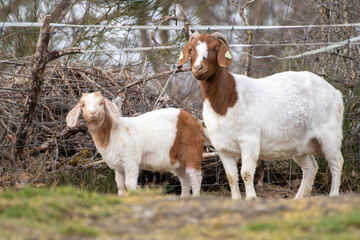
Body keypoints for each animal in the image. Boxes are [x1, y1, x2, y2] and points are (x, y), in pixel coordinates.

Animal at [65, 92, 204, 197]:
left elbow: (129, 184)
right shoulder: (119, 166)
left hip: (191, 152)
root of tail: (196, 123)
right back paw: (184, 198)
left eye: (101, 103)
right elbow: (120, 185)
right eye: (83, 105)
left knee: (195, 177)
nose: (92, 113)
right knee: (184, 179)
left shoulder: (130, 161)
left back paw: (195, 197)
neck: (113, 132)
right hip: (176, 160)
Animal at [179, 32, 344, 201]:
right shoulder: (222, 148)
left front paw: (252, 198)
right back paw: (298, 198)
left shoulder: (249, 141)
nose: (198, 68)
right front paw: (236, 199)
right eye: (191, 49)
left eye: (215, 48)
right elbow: (231, 177)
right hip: (300, 144)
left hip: (330, 134)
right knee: (311, 167)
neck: (226, 102)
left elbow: (246, 174)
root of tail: (335, 92)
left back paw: (333, 195)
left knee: (336, 162)